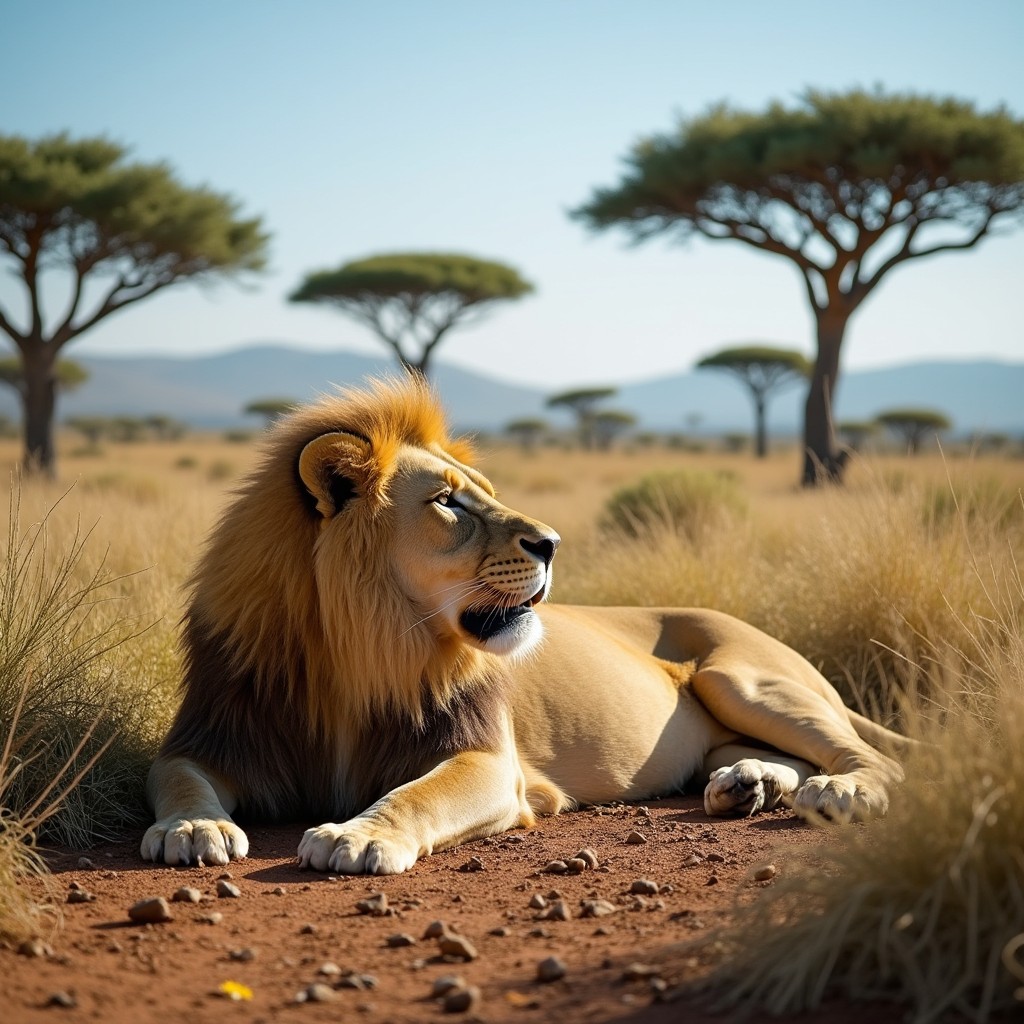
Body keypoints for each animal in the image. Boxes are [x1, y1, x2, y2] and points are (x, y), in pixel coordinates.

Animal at [142, 378, 909, 873]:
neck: (359, 651)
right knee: (775, 756)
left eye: (487, 495)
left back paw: (839, 792)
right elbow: (174, 777)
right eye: (450, 503)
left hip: (738, 677)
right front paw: (194, 826)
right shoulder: (214, 736)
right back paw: (747, 783)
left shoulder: (490, 762)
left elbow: (416, 793)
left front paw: (356, 837)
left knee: (876, 759)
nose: (552, 542)